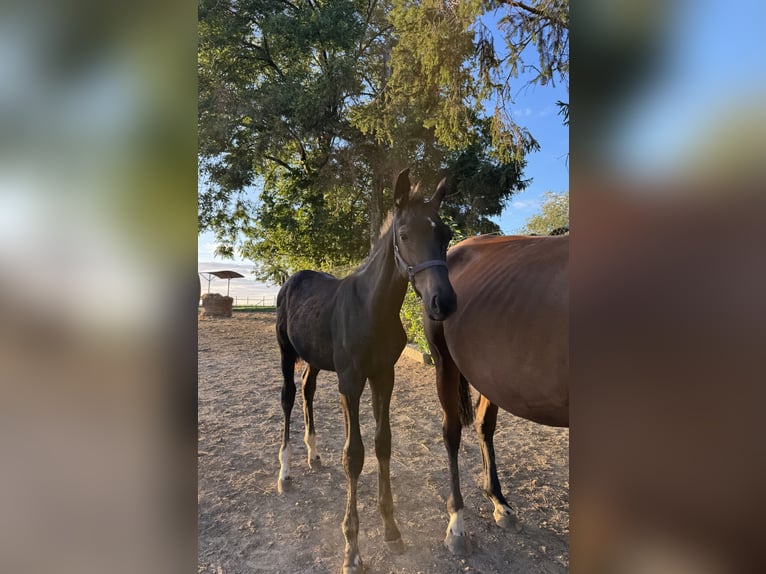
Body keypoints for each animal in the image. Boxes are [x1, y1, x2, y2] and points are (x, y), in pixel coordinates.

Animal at [275, 168, 457, 574]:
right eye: (403, 235)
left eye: (446, 234)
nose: (444, 302)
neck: (372, 309)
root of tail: (293, 278)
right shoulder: (351, 382)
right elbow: (354, 455)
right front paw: (352, 549)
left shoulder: (383, 377)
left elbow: (382, 444)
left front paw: (391, 529)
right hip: (286, 353)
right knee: (289, 396)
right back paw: (285, 471)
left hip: (315, 359)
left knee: (308, 391)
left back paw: (312, 454)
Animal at [423, 233, 569, 555]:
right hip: (445, 362)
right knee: (452, 432)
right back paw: (457, 525)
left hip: (489, 375)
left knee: (483, 426)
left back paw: (500, 503)